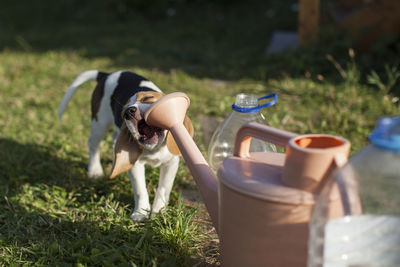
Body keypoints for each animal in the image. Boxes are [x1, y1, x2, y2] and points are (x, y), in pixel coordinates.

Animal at [57, 70, 194, 221]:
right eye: (123, 111)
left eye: (148, 98)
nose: (129, 111)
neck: (154, 149)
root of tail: (107, 74)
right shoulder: (135, 164)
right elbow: (140, 190)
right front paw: (140, 212)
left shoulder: (171, 163)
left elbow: (163, 189)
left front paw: (158, 212)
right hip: (99, 124)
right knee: (93, 144)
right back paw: (95, 170)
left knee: (113, 139)